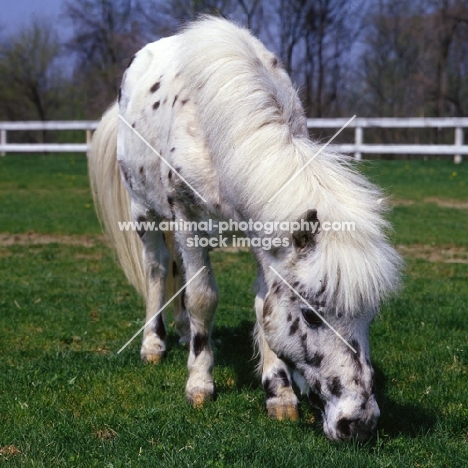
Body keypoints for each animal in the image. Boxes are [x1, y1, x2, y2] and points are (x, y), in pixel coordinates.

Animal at [88, 16, 402, 440]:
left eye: (370, 314)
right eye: (310, 315)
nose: (359, 422)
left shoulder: (265, 236)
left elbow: (261, 304)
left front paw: (279, 393)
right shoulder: (187, 219)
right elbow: (203, 296)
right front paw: (199, 383)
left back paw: (184, 332)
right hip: (143, 211)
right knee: (157, 266)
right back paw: (154, 343)